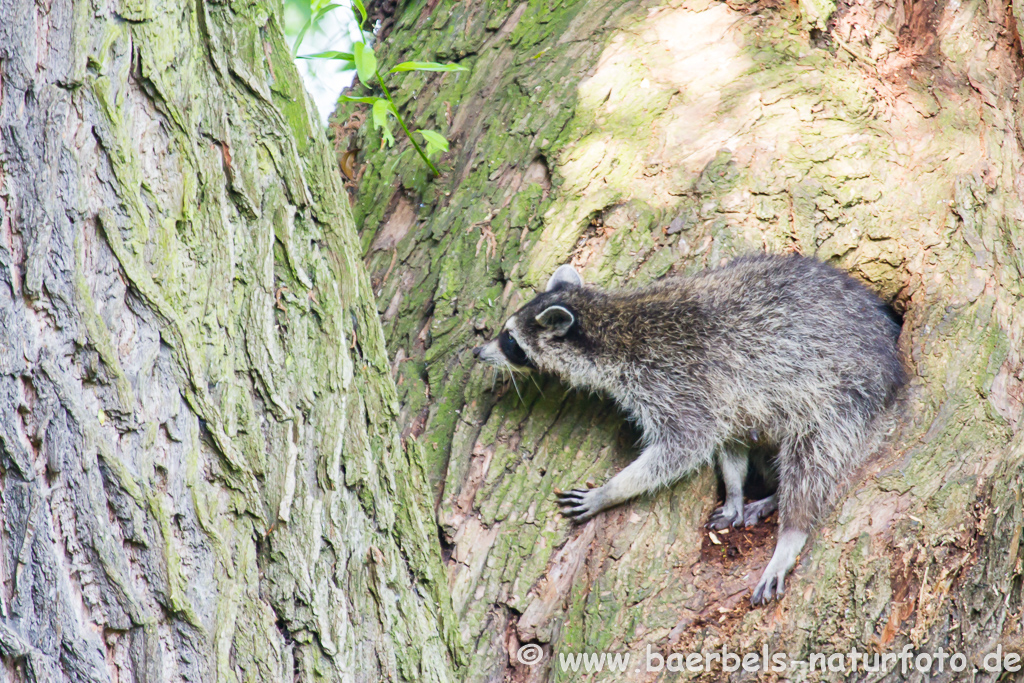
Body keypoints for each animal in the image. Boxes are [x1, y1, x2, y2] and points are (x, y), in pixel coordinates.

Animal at [471, 254, 905, 602]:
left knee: (812, 458)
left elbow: (685, 446)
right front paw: (734, 490)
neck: (612, 321)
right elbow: (727, 438)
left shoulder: (674, 381)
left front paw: (612, 490)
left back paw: (790, 530)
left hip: (843, 393)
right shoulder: (725, 394)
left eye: (510, 341)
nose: (477, 351)